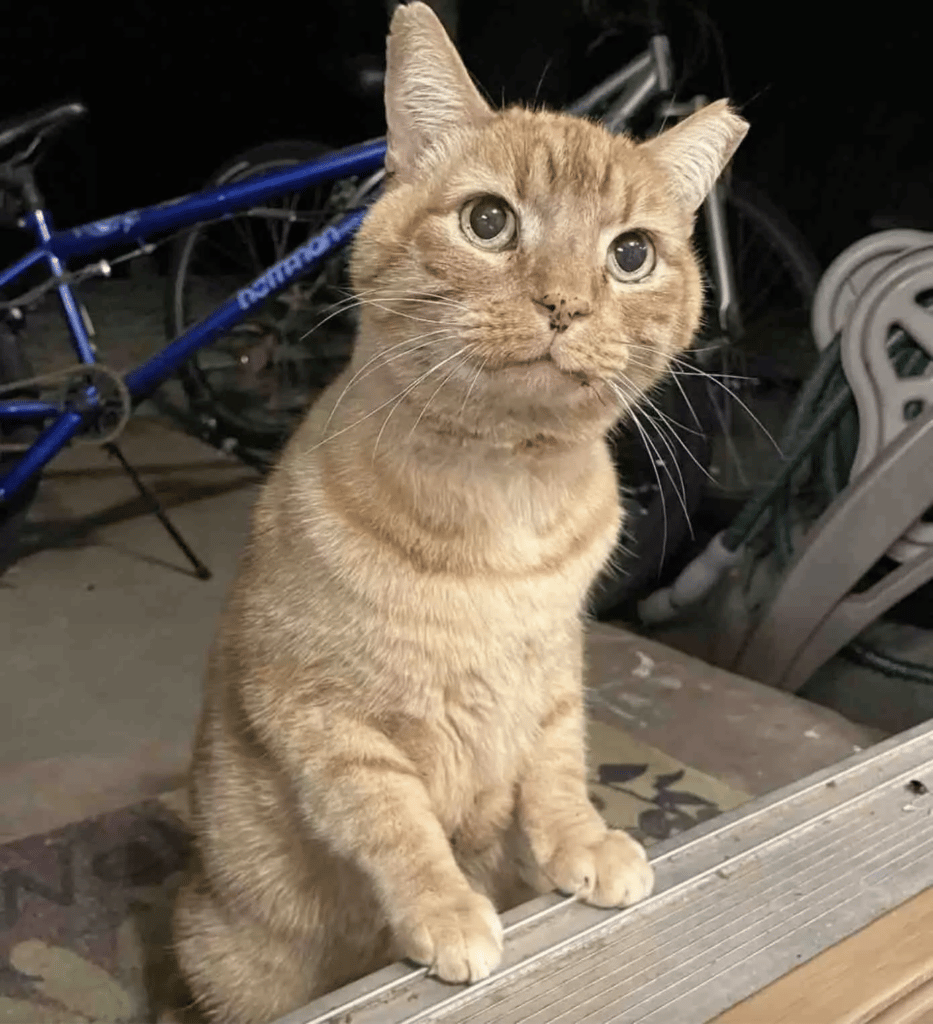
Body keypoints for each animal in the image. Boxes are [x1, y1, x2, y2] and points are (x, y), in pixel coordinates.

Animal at [171, 4, 749, 1019]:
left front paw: (580, 842)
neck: (504, 501)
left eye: (631, 254)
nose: (563, 304)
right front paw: (446, 908)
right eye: (489, 221)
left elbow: (556, 766)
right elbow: (397, 822)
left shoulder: (549, 671)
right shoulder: (324, 719)